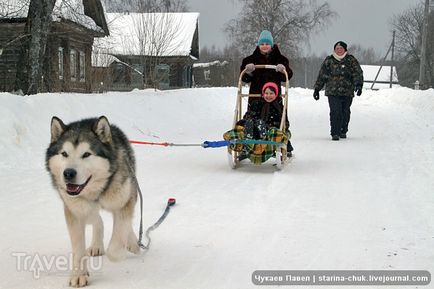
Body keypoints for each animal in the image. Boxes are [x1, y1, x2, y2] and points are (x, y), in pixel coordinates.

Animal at [45, 115, 141, 286]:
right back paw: (97, 244)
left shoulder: (125, 200)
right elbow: (78, 249)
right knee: (96, 219)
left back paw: (132, 243)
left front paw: (120, 252)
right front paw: (79, 274)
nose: (68, 173)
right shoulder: (74, 211)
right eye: (64, 153)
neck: (96, 192)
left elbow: (118, 239)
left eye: (86, 154)